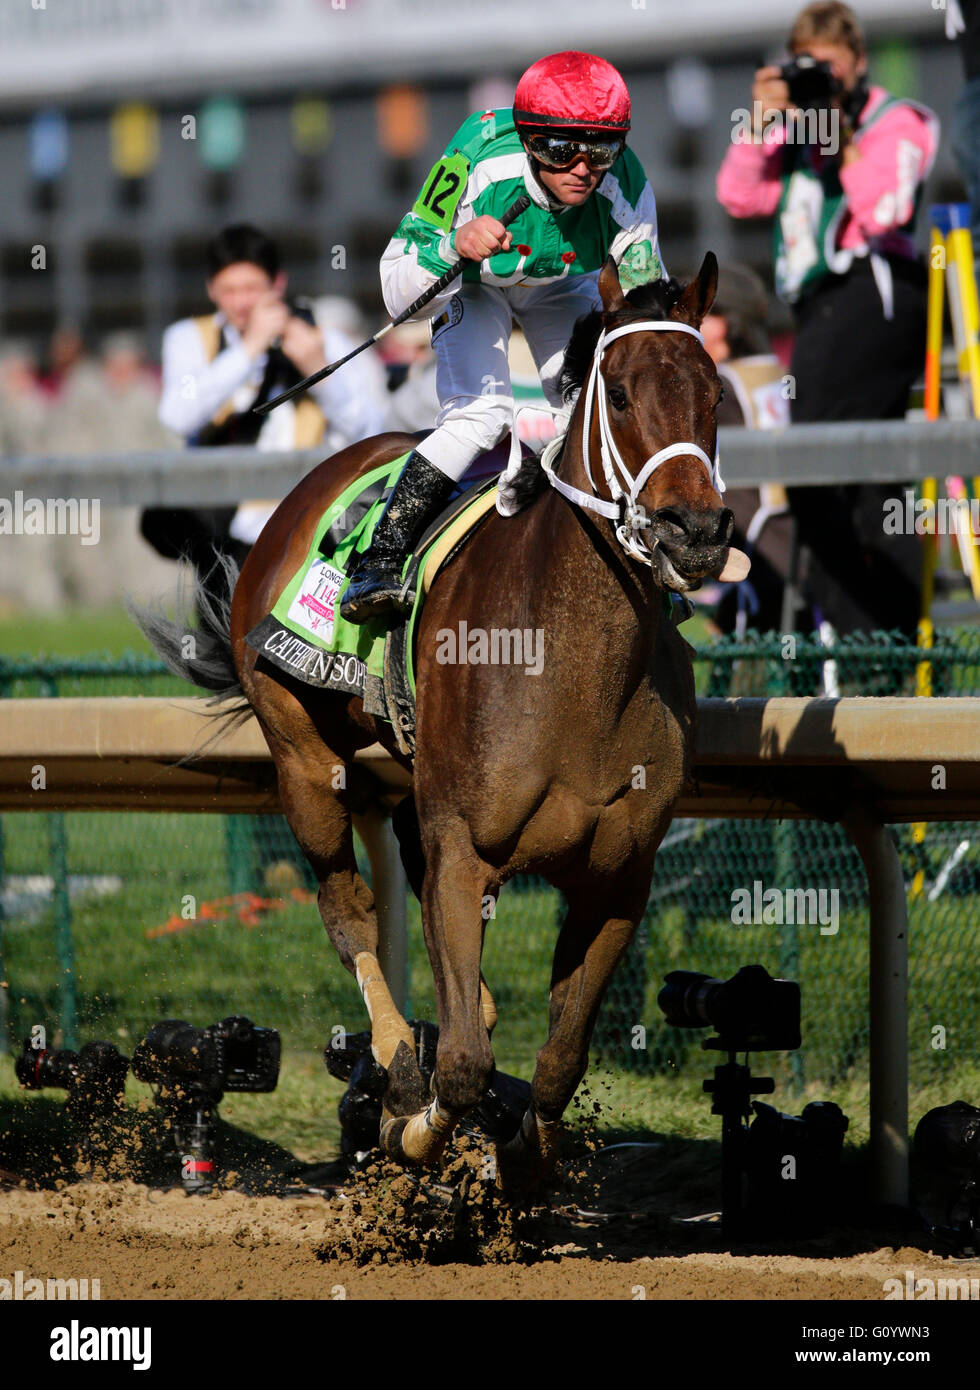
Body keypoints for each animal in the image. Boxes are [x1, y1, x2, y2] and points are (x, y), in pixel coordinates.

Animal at [141, 258, 739, 1195]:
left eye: (714, 392)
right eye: (620, 394)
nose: (697, 532)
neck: (574, 670)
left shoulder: (619, 876)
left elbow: (561, 1059)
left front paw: (522, 1155)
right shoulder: (465, 849)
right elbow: (455, 1066)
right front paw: (413, 1124)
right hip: (305, 759)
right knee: (349, 912)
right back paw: (394, 1064)